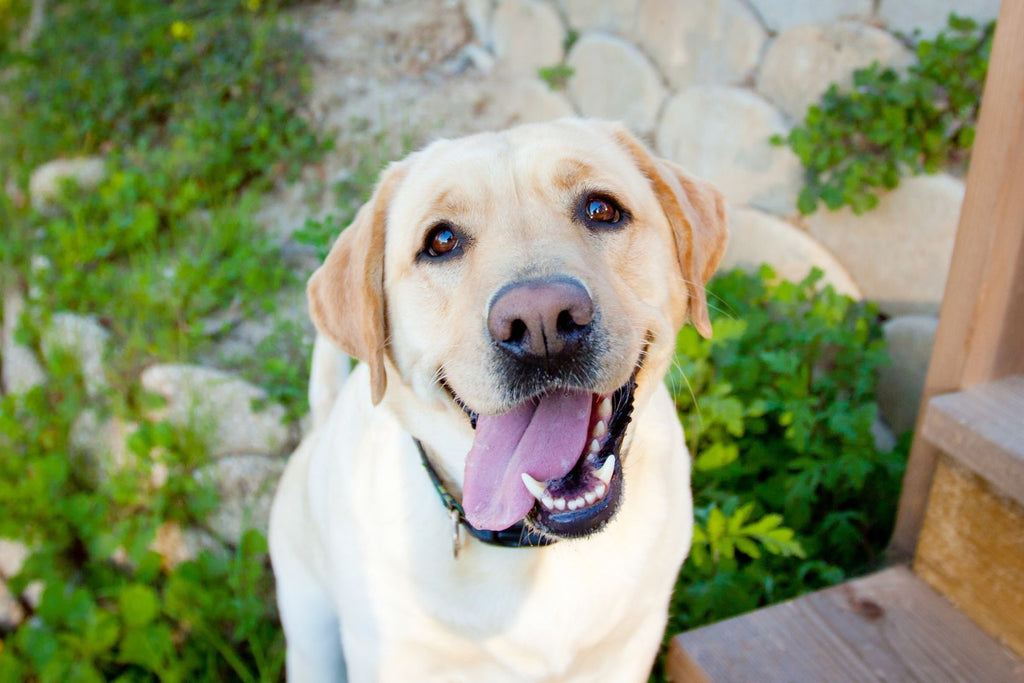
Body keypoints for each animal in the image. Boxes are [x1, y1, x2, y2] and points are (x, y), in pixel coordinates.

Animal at [264, 120, 729, 679]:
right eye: (440, 241)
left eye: (602, 209)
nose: (542, 322)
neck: (537, 552)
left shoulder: (630, 645)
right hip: (310, 629)